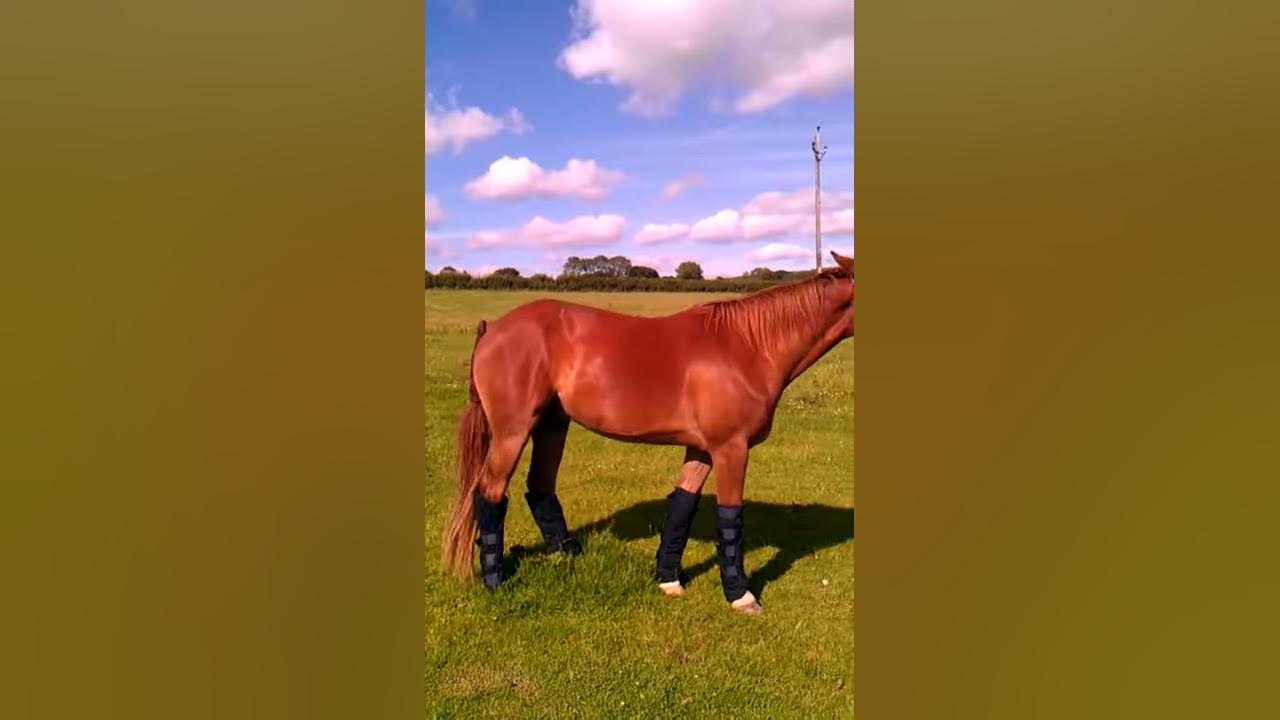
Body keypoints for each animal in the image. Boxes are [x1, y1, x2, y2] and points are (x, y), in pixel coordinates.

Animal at [445, 251, 855, 609]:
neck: (750, 347)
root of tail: (493, 329)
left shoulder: (702, 449)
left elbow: (682, 507)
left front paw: (668, 579)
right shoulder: (731, 448)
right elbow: (730, 517)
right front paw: (740, 595)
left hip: (552, 424)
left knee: (539, 487)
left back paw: (570, 556)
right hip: (513, 432)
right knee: (490, 493)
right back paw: (495, 580)